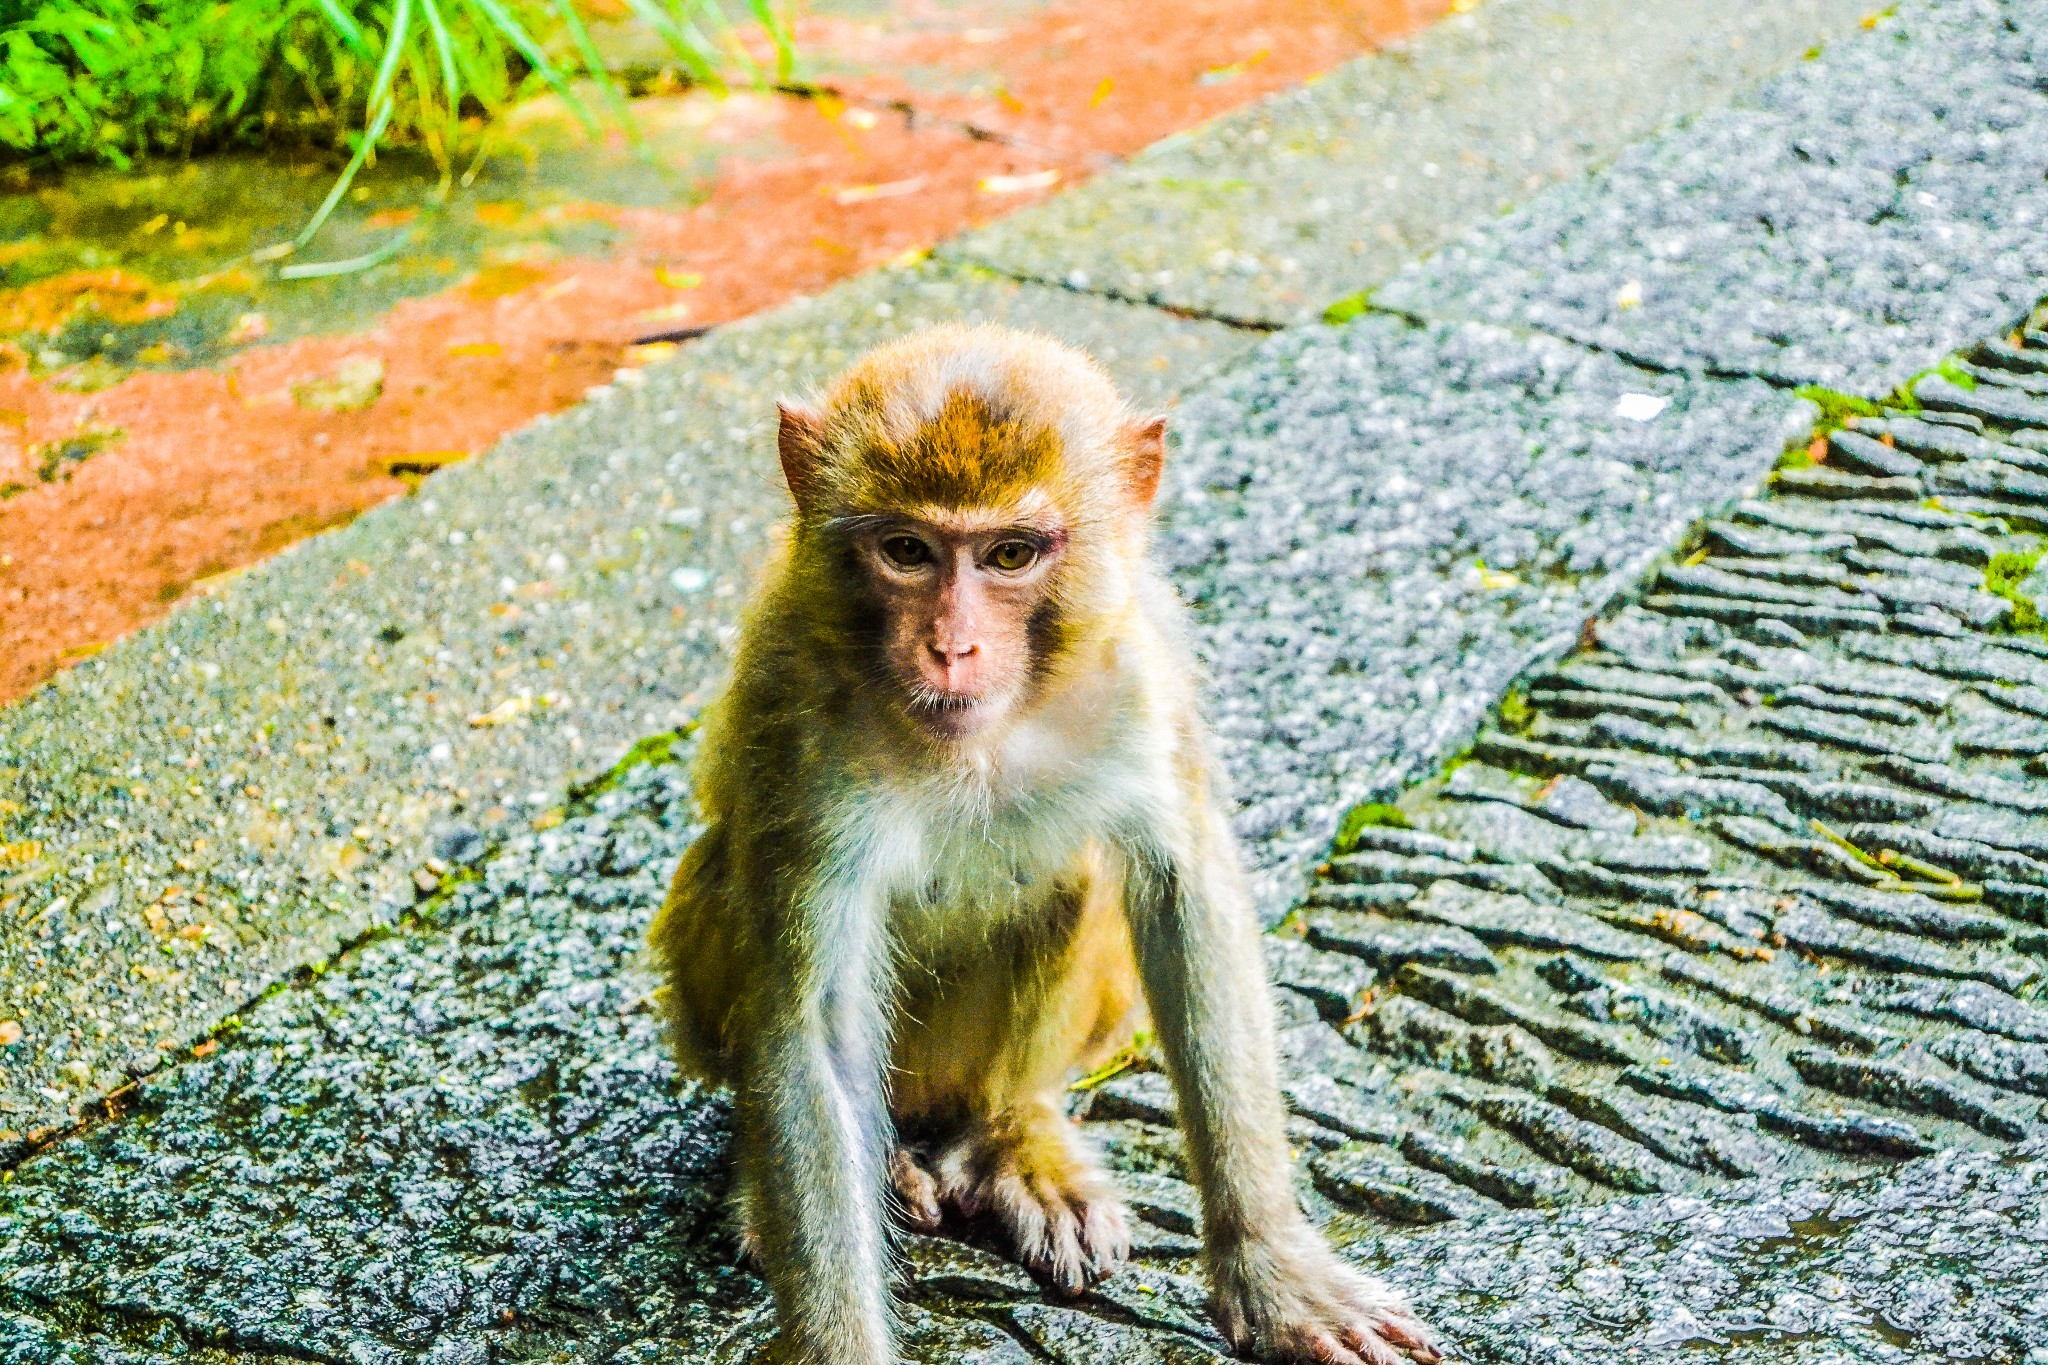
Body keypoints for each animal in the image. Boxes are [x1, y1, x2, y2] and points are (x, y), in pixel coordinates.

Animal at [655, 327, 1441, 1365]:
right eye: (907, 551)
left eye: (1010, 554)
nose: (951, 648)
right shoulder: (795, 711)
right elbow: (814, 1019)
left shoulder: (1144, 665)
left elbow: (1188, 902)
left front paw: (1272, 1268)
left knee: (1076, 885)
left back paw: (1011, 1134)